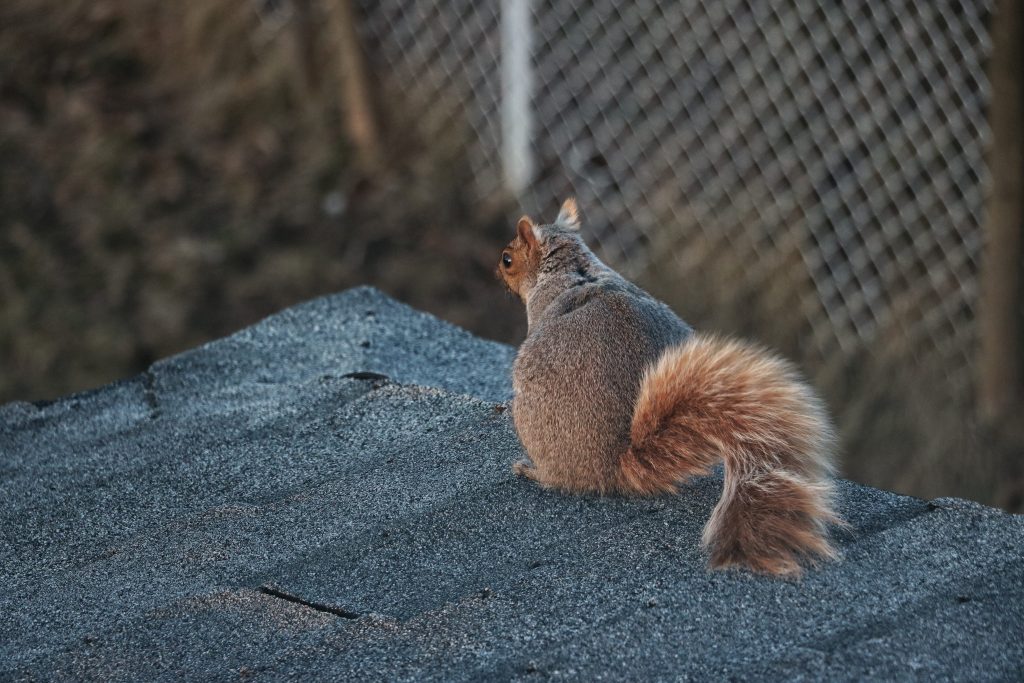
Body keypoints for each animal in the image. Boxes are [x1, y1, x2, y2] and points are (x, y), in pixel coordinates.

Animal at [497, 198, 843, 577]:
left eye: (508, 259)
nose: (497, 272)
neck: (571, 266)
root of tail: (614, 465)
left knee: (561, 479)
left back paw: (532, 470)